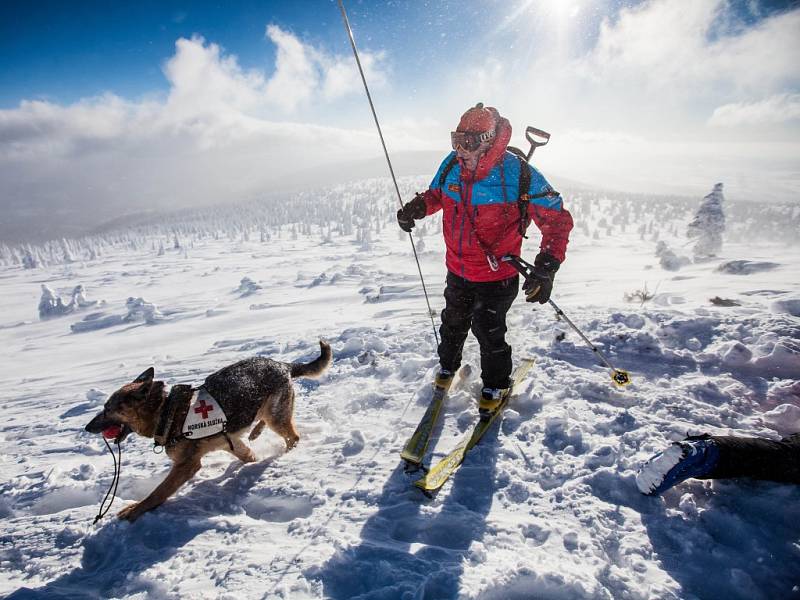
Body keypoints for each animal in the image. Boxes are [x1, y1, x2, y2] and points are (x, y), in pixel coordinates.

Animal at [83, 340, 330, 524]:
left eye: (108, 409)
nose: (86, 427)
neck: (166, 412)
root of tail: (282, 365)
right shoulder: (232, 444)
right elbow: (248, 456)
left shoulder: (186, 465)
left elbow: (158, 493)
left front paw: (134, 510)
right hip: (268, 412)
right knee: (264, 424)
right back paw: (256, 432)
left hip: (276, 415)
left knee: (292, 436)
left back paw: (286, 454)